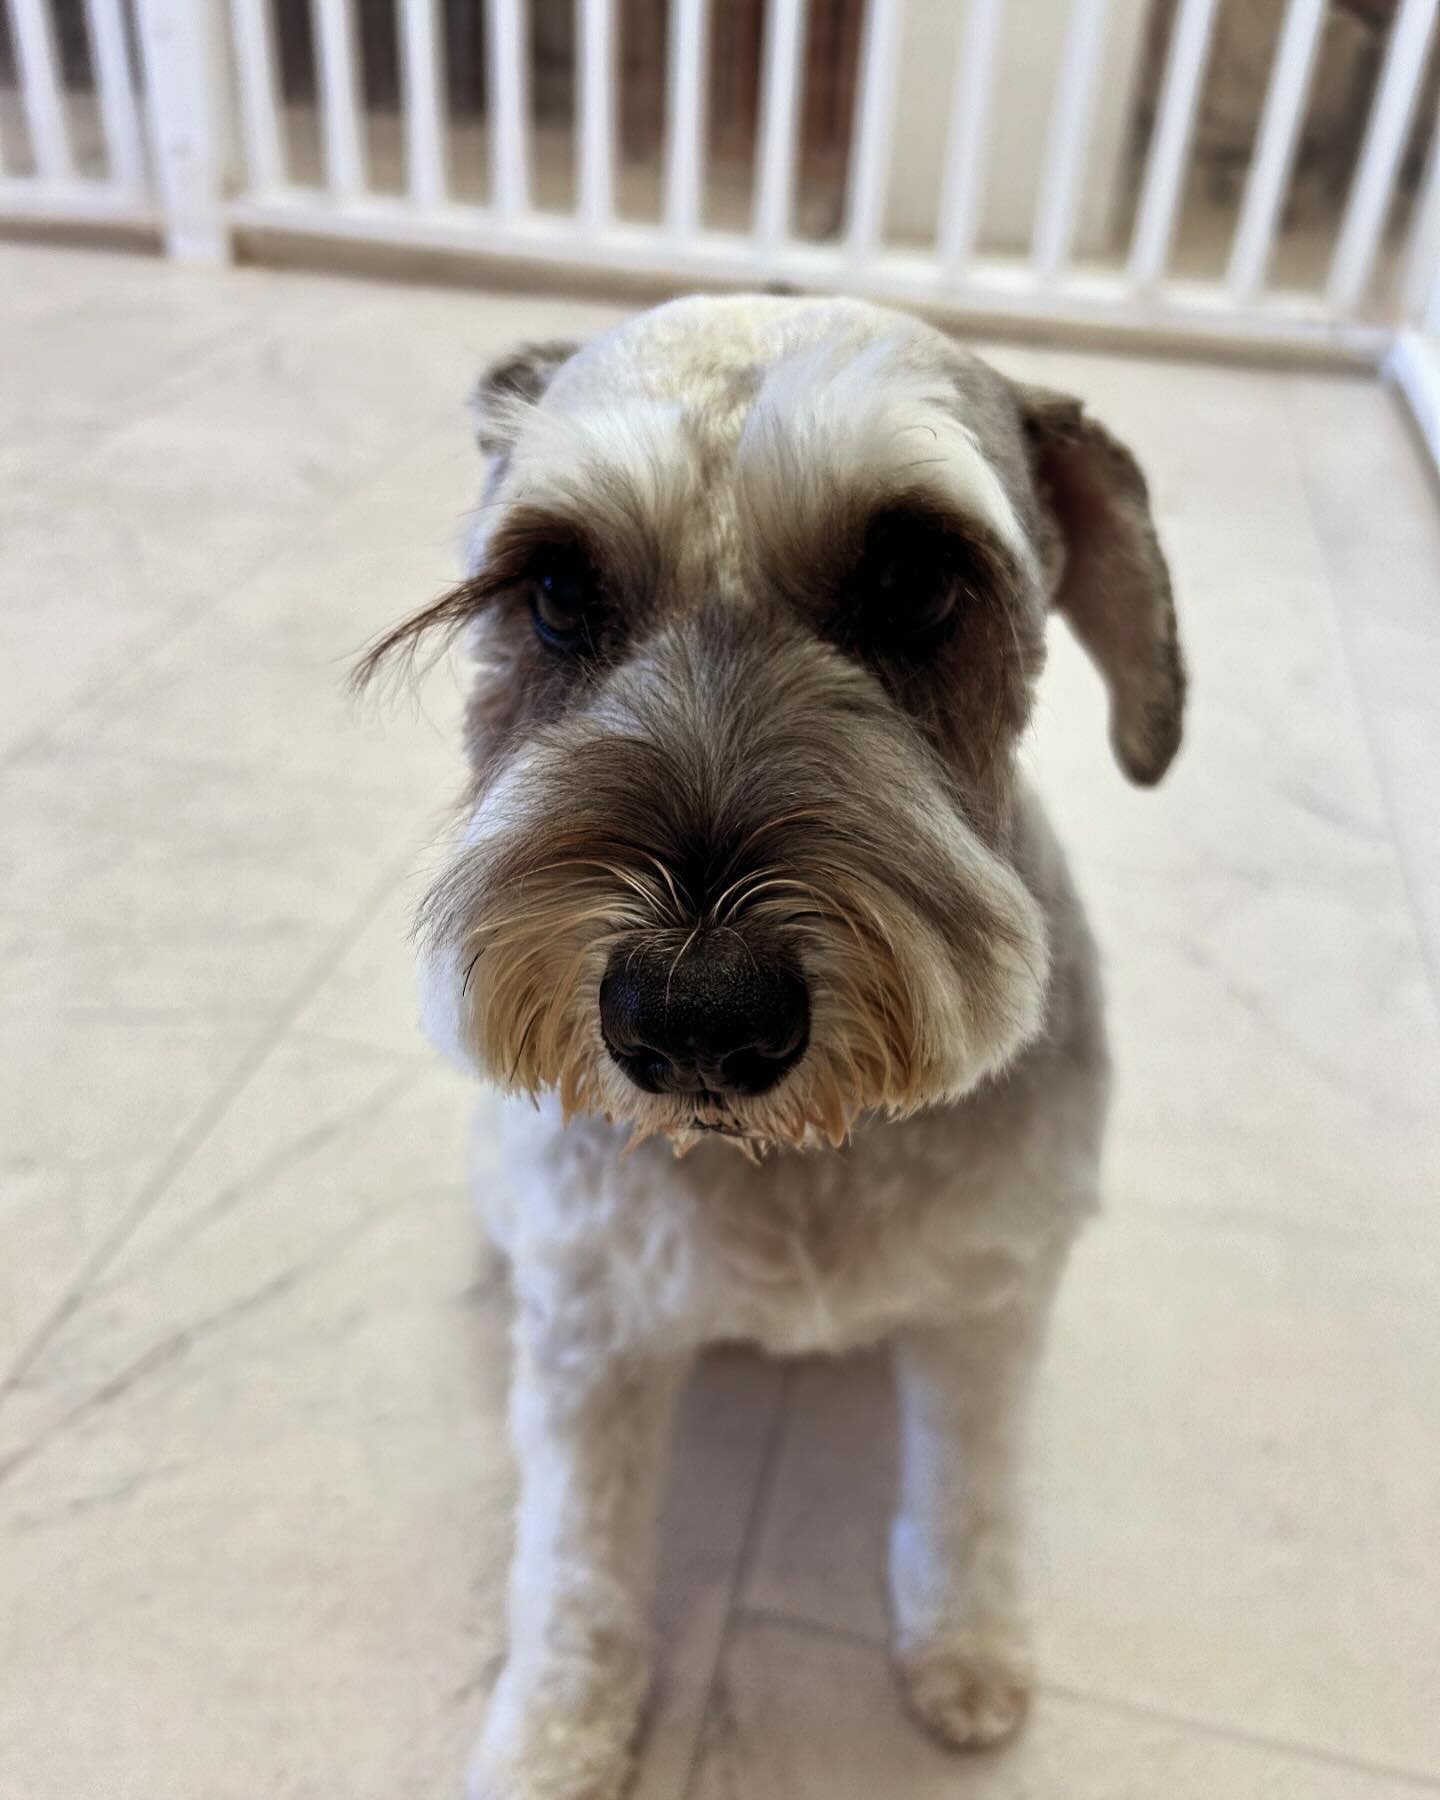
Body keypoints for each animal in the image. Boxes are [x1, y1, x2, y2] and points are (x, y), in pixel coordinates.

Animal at [356, 295, 1180, 1800]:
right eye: (555, 591)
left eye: (915, 581)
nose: (694, 1013)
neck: (802, 1158)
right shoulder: (595, 1336)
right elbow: (576, 1566)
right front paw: (553, 1738)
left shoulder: (989, 1302)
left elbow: (971, 1489)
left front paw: (969, 1648)